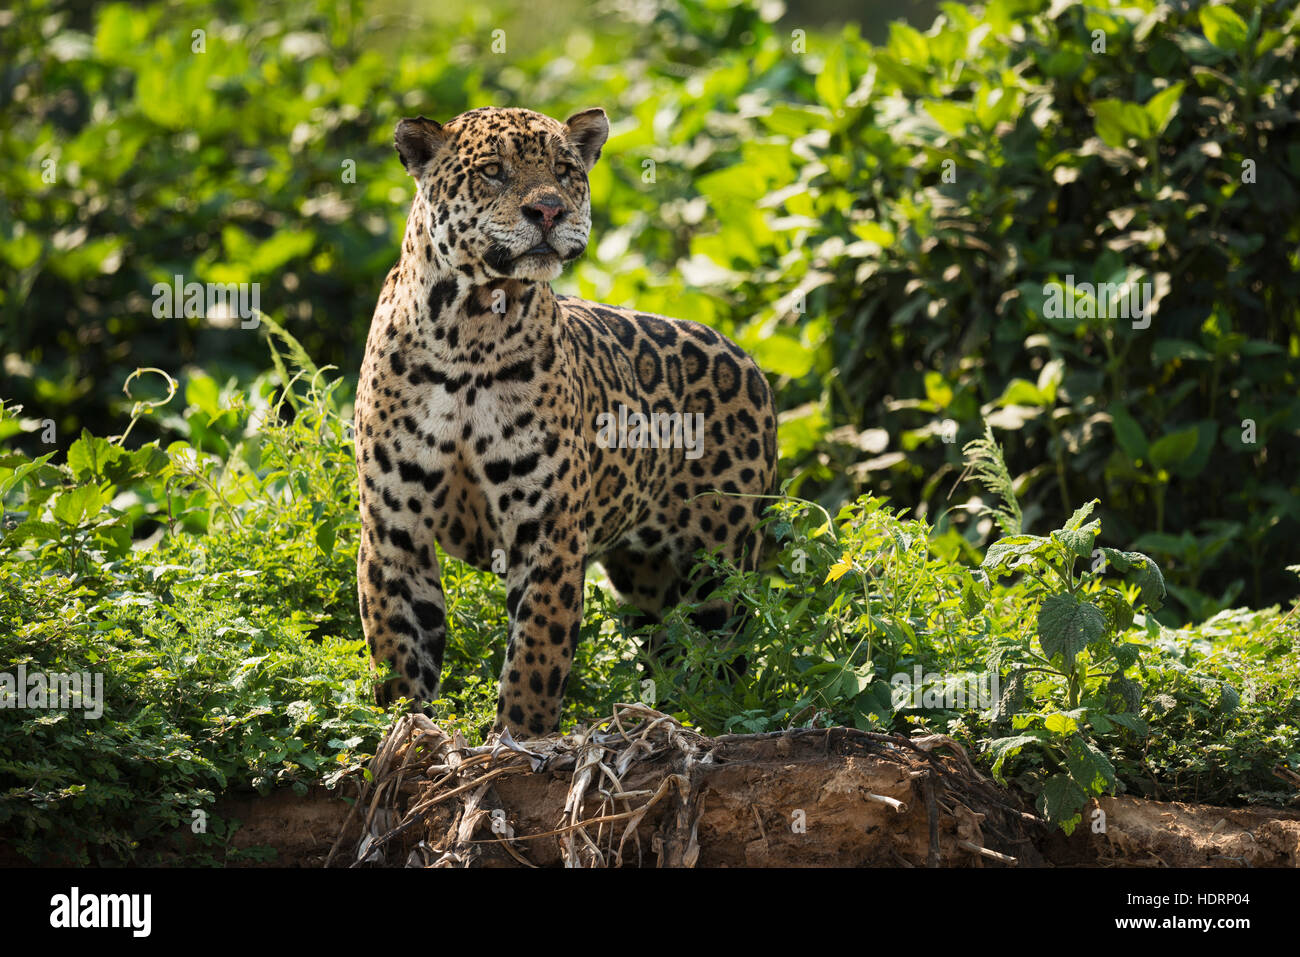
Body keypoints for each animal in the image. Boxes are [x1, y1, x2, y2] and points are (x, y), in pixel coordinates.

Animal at [354, 105, 778, 737]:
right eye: (494, 171)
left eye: (564, 170)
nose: (549, 211)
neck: (470, 334)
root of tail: (747, 359)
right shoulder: (393, 531)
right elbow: (399, 652)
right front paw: (405, 730)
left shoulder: (548, 529)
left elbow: (537, 650)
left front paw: (521, 737)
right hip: (644, 576)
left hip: (721, 567)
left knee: (722, 655)